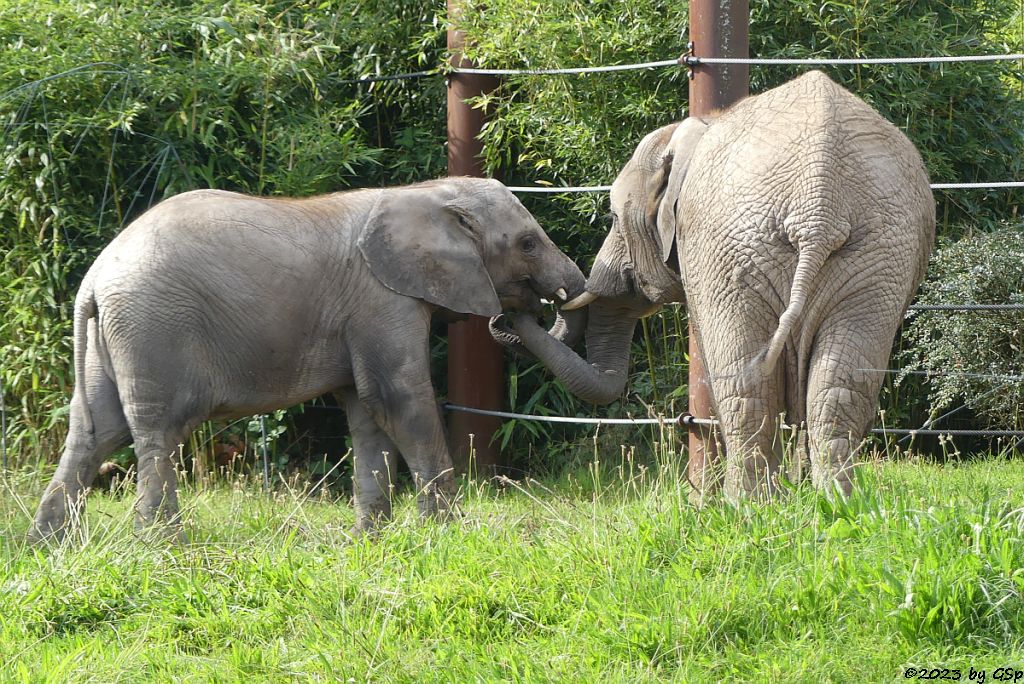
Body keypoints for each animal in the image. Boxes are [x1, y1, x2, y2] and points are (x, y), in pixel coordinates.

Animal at [29, 178, 585, 544]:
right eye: (528, 243)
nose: (527, 310)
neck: (426, 193)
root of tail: (94, 279)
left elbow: (366, 412)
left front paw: (370, 540)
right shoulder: (382, 299)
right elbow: (400, 399)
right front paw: (446, 534)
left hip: (112, 336)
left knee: (94, 432)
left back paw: (50, 548)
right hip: (152, 328)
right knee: (156, 432)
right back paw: (161, 547)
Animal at [501, 70, 937, 501]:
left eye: (611, 217)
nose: (511, 317)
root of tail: (817, 209)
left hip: (738, 246)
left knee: (744, 381)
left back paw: (743, 505)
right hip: (878, 255)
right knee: (839, 384)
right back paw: (837, 503)